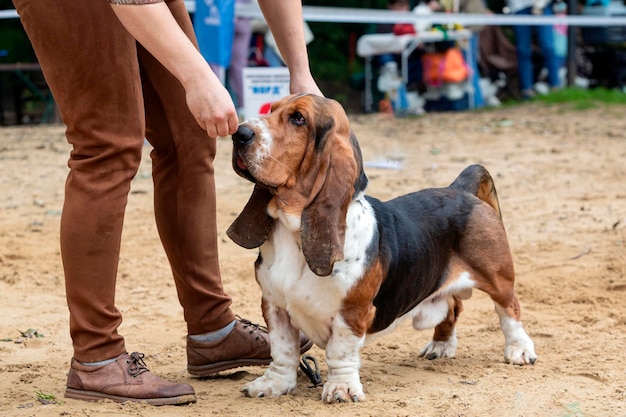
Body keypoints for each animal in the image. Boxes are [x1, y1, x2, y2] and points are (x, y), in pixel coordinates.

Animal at [227, 92, 532, 402]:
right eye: (272, 108)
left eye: (298, 118)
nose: (239, 133)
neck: (294, 232)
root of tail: (459, 188)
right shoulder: (274, 306)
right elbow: (282, 351)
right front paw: (273, 385)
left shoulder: (351, 313)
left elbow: (340, 353)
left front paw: (342, 388)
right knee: (453, 307)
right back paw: (441, 345)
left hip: (497, 278)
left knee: (510, 310)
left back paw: (519, 350)